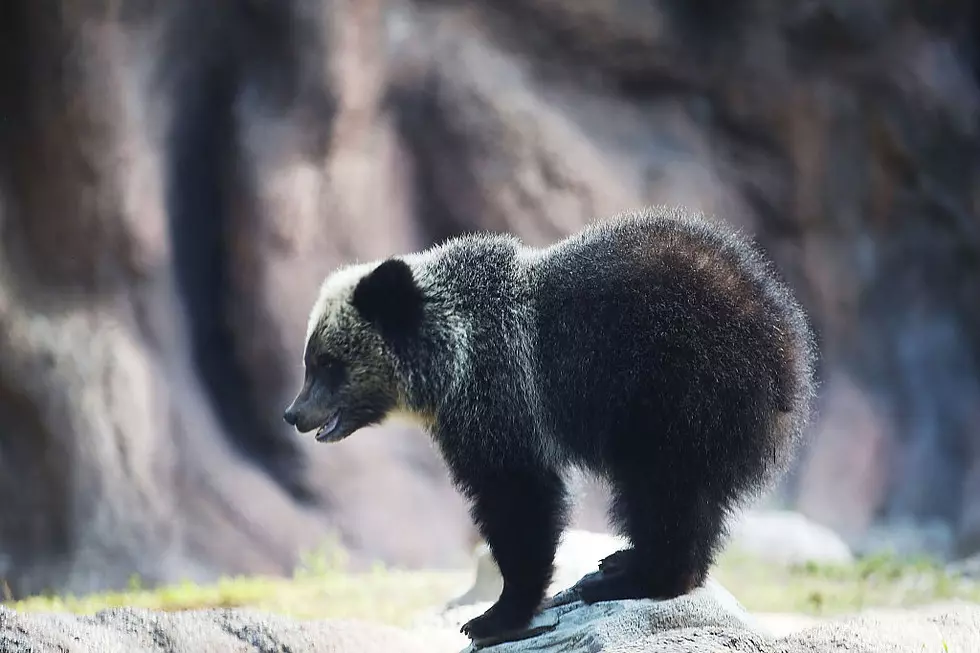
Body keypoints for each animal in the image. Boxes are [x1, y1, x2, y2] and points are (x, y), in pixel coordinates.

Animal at [283, 206, 818, 642]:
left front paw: (494, 615)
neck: (452, 359)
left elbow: (520, 499)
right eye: (311, 359)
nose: (294, 414)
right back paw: (624, 561)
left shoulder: (501, 397)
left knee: (662, 489)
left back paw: (630, 576)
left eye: (327, 363)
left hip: (678, 394)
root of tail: (788, 351)